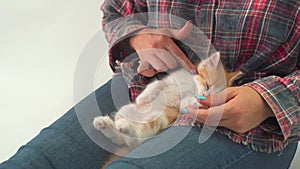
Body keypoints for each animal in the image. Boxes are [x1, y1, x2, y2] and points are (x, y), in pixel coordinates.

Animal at [92, 51, 240, 168]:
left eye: (214, 97)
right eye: (207, 85)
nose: (204, 96)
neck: (191, 87)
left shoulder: (180, 105)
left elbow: (186, 103)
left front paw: (197, 103)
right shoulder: (171, 81)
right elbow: (158, 84)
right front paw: (144, 97)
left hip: (159, 119)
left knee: (133, 138)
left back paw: (121, 127)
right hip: (126, 110)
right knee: (121, 137)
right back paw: (105, 124)